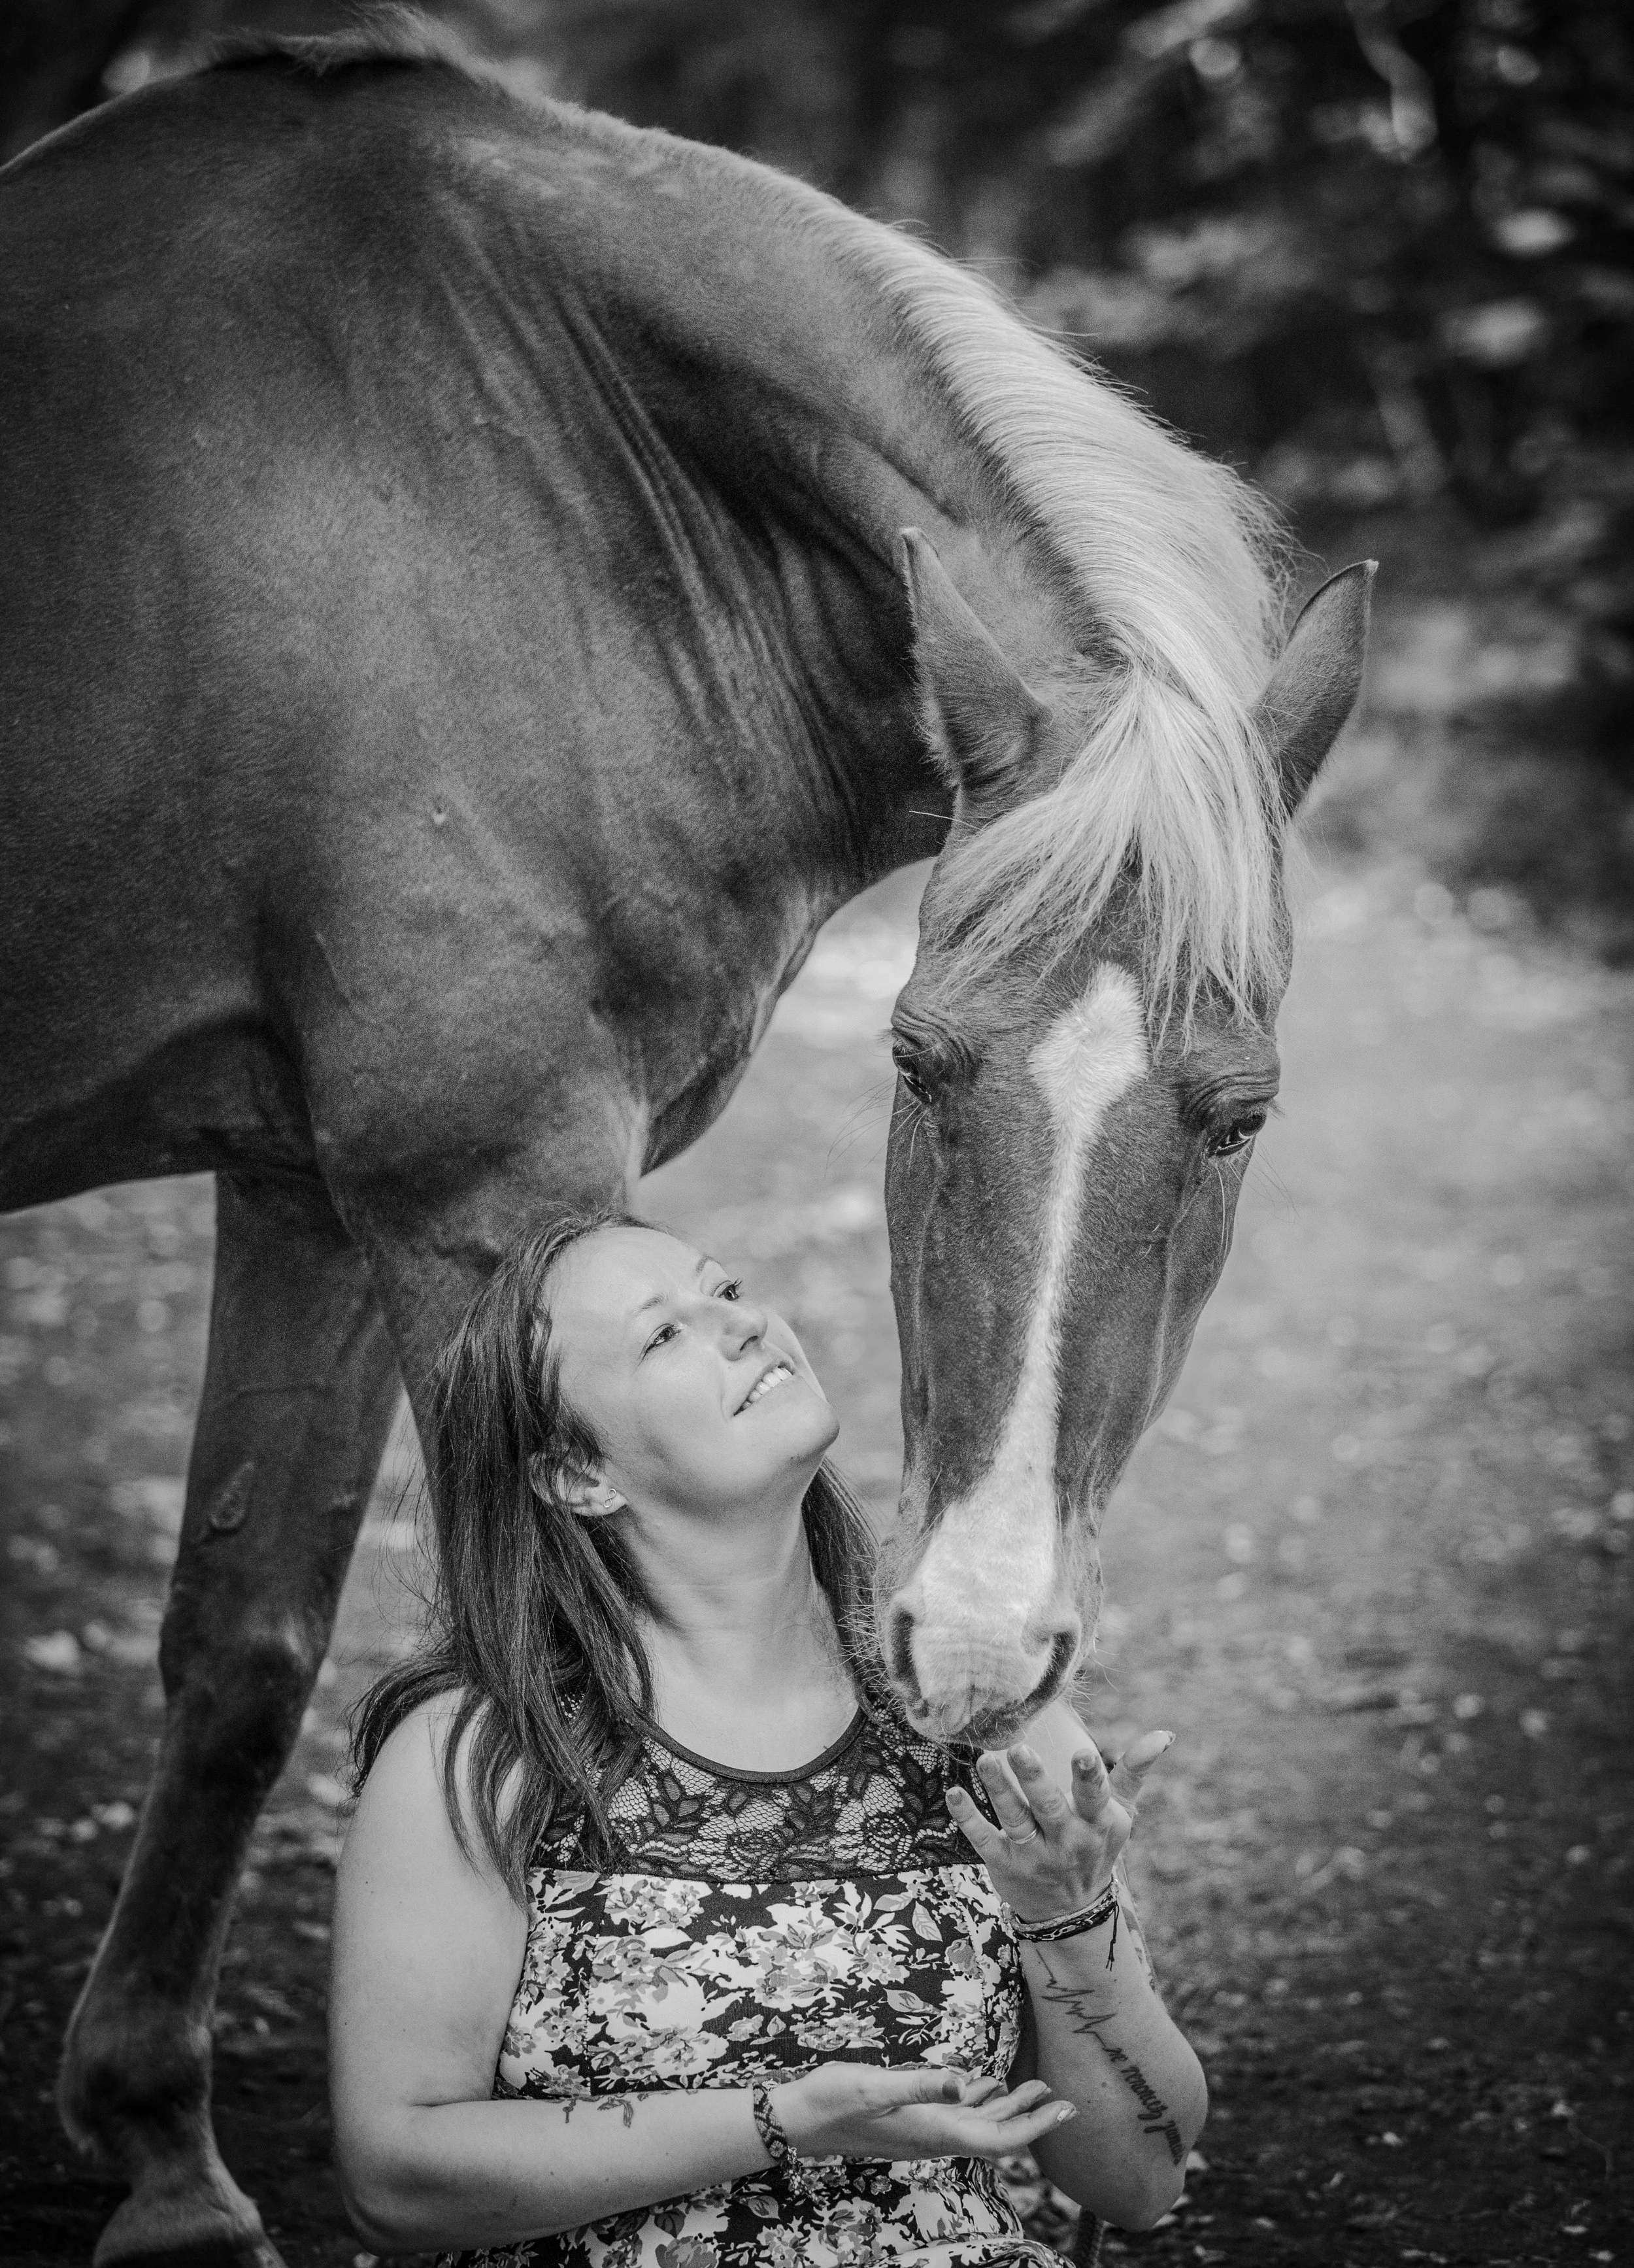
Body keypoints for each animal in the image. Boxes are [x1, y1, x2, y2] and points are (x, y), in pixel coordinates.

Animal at [0, 25, 1371, 2265]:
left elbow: (235, 1655)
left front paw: (158, 2150)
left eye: (1237, 1116)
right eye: (910, 1058)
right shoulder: (482, 1203)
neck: (534, 458)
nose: (973, 1644)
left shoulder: (308, 1196)